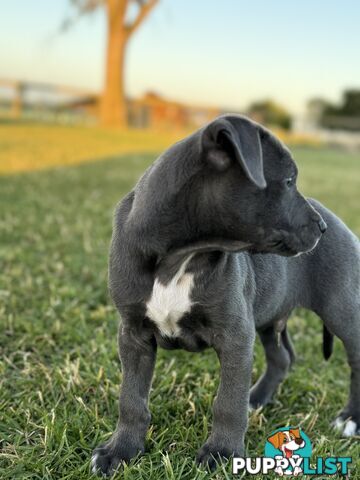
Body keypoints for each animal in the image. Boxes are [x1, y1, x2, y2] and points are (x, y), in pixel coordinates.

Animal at [90, 114, 360, 474]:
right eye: (289, 181)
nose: (322, 228)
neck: (181, 256)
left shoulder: (235, 336)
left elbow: (228, 402)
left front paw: (223, 453)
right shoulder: (133, 334)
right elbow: (131, 399)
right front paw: (120, 451)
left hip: (341, 309)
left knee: (354, 359)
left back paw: (351, 418)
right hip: (270, 316)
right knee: (281, 358)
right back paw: (257, 399)